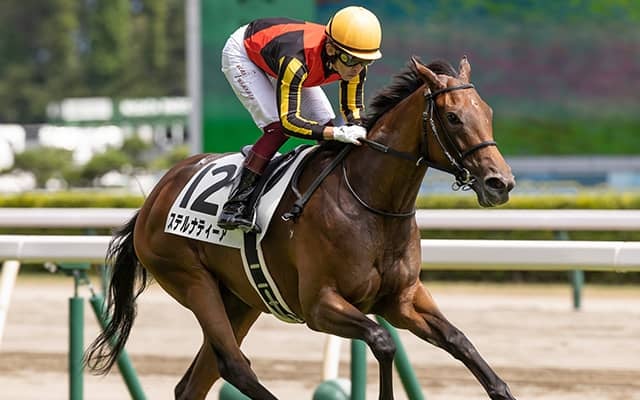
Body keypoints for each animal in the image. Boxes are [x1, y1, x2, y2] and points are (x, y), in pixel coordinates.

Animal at [86, 56, 516, 400]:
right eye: (453, 117)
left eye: (489, 113)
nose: (501, 182)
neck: (372, 204)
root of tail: (153, 198)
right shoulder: (319, 305)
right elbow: (383, 342)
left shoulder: (402, 299)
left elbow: (459, 341)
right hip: (193, 282)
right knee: (234, 366)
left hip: (240, 300)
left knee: (195, 381)